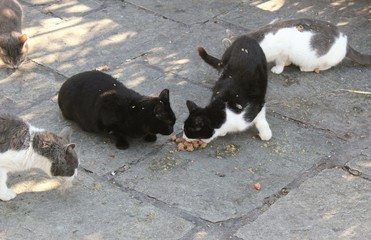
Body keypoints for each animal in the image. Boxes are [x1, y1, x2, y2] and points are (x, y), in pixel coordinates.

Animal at [224, 18, 371, 73]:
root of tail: (345, 41)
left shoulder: (283, 51)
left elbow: (280, 61)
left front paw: (278, 69)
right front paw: (288, 64)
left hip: (325, 59)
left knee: (326, 66)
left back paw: (307, 68)